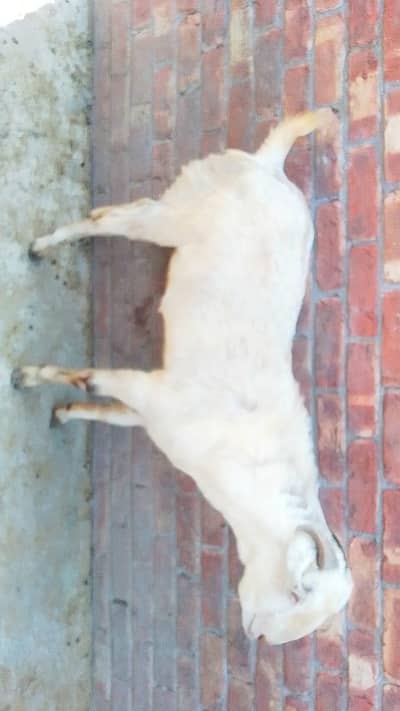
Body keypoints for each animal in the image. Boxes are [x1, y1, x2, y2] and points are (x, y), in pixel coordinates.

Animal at [12, 109, 352, 645]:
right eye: (297, 594)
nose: (254, 634)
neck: (243, 462)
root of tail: (269, 166)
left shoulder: (152, 414)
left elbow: (102, 410)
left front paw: (63, 413)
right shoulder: (152, 390)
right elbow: (89, 377)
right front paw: (27, 376)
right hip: (179, 213)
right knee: (113, 219)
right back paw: (40, 246)